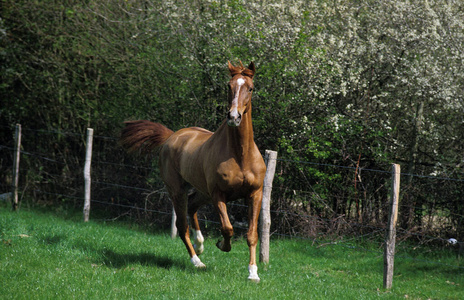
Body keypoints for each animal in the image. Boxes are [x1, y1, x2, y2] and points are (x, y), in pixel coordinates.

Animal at [119, 61, 264, 282]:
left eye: (250, 88)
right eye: (228, 86)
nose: (233, 116)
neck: (240, 155)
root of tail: (172, 137)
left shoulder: (255, 194)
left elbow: (251, 234)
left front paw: (253, 273)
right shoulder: (218, 194)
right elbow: (227, 228)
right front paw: (222, 245)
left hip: (203, 192)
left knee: (192, 206)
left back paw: (200, 243)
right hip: (178, 191)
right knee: (182, 225)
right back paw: (197, 261)